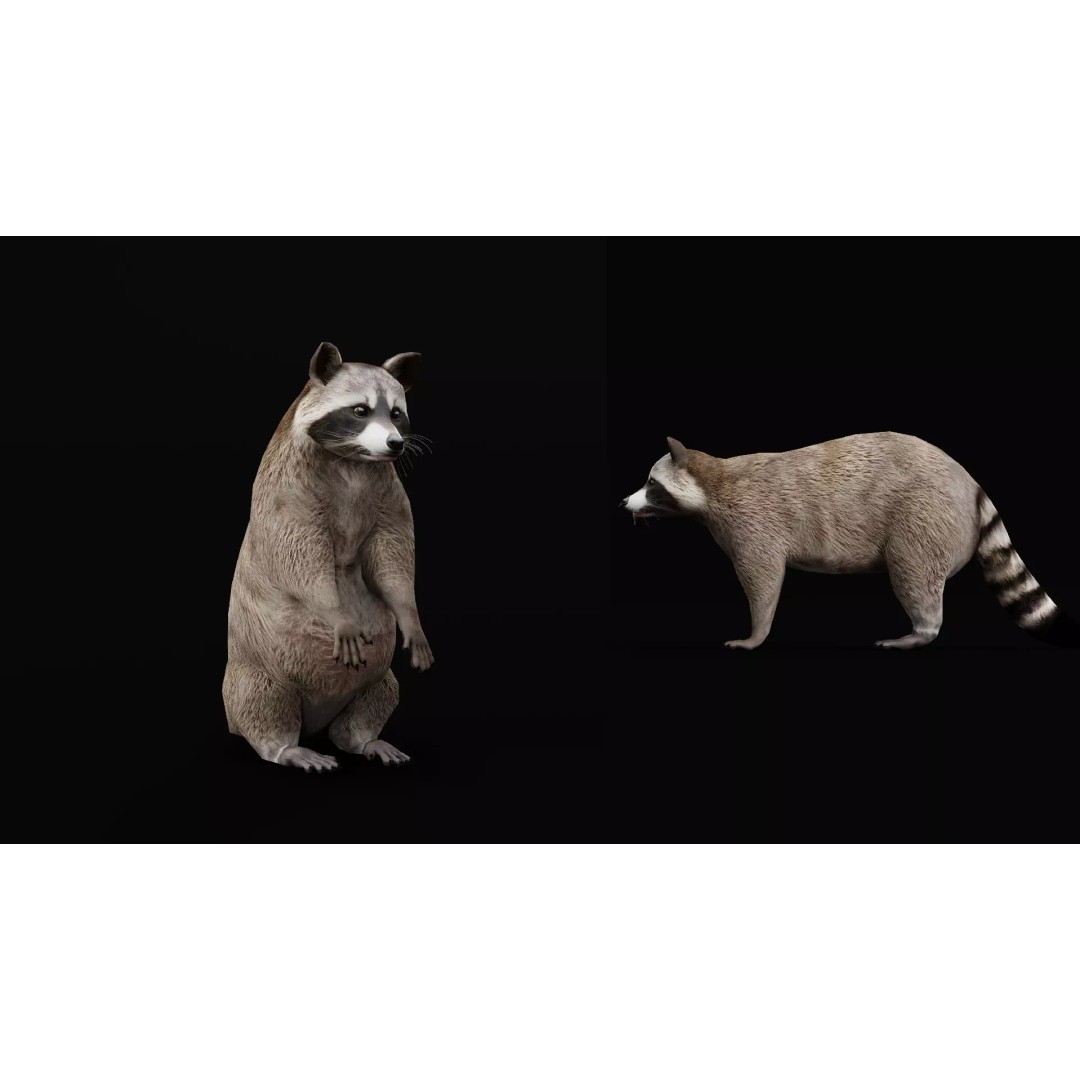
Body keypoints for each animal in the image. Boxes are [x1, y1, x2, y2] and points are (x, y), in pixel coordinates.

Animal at [223, 342, 434, 771]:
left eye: (397, 413)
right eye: (360, 410)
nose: (396, 444)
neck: (354, 461)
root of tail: (315, 723)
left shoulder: (388, 495)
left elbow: (394, 557)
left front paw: (410, 614)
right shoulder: (286, 490)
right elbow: (299, 556)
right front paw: (335, 611)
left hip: (374, 680)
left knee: (378, 695)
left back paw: (365, 740)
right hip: (257, 671)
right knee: (262, 701)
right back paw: (285, 747)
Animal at [621, 432, 1079, 650]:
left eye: (651, 483)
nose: (624, 501)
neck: (713, 478)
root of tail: (967, 480)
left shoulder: (753, 522)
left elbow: (764, 581)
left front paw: (756, 633)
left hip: (924, 516)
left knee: (913, 570)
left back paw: (921, 630)